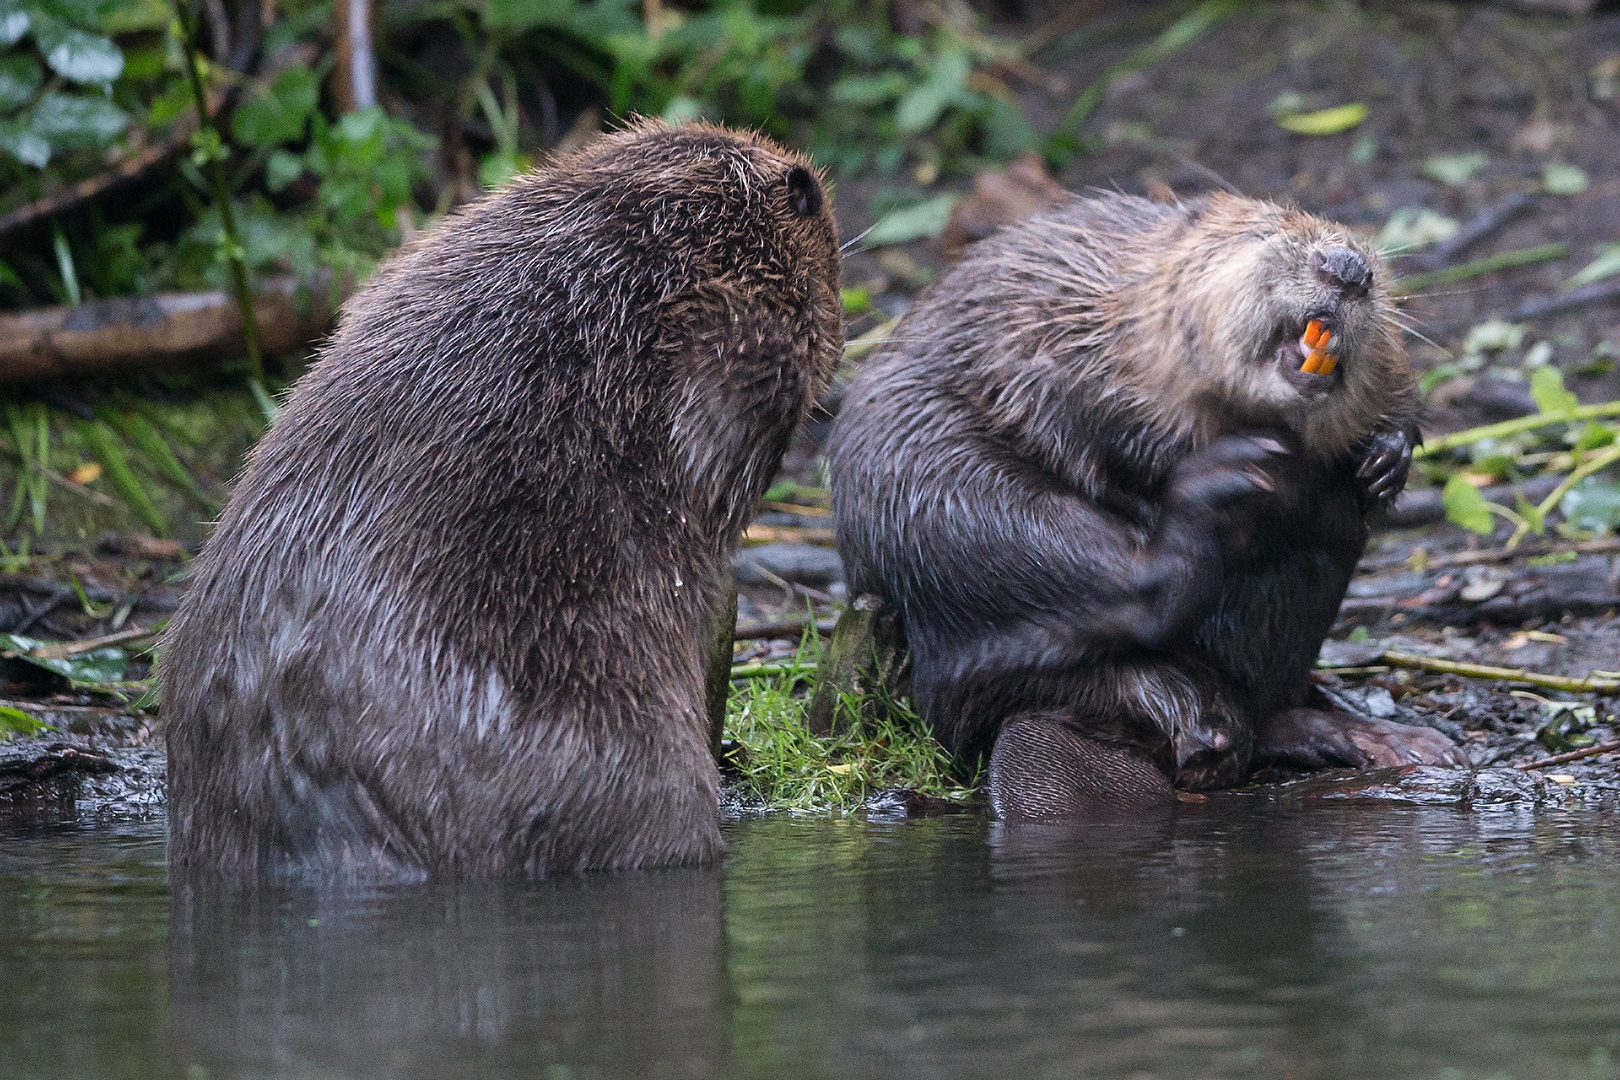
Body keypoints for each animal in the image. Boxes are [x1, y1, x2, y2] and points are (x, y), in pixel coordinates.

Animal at [835, 191, 1470, 819]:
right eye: (1264, 234)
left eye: (1375, 270)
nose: (1348, 269)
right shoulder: (1064, 326)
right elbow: (1090, 416)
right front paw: (1238, 461)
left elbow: (1395, 389)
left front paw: (1384, 459)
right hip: (937, 486)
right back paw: (1219, 497)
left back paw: (1392, 741)